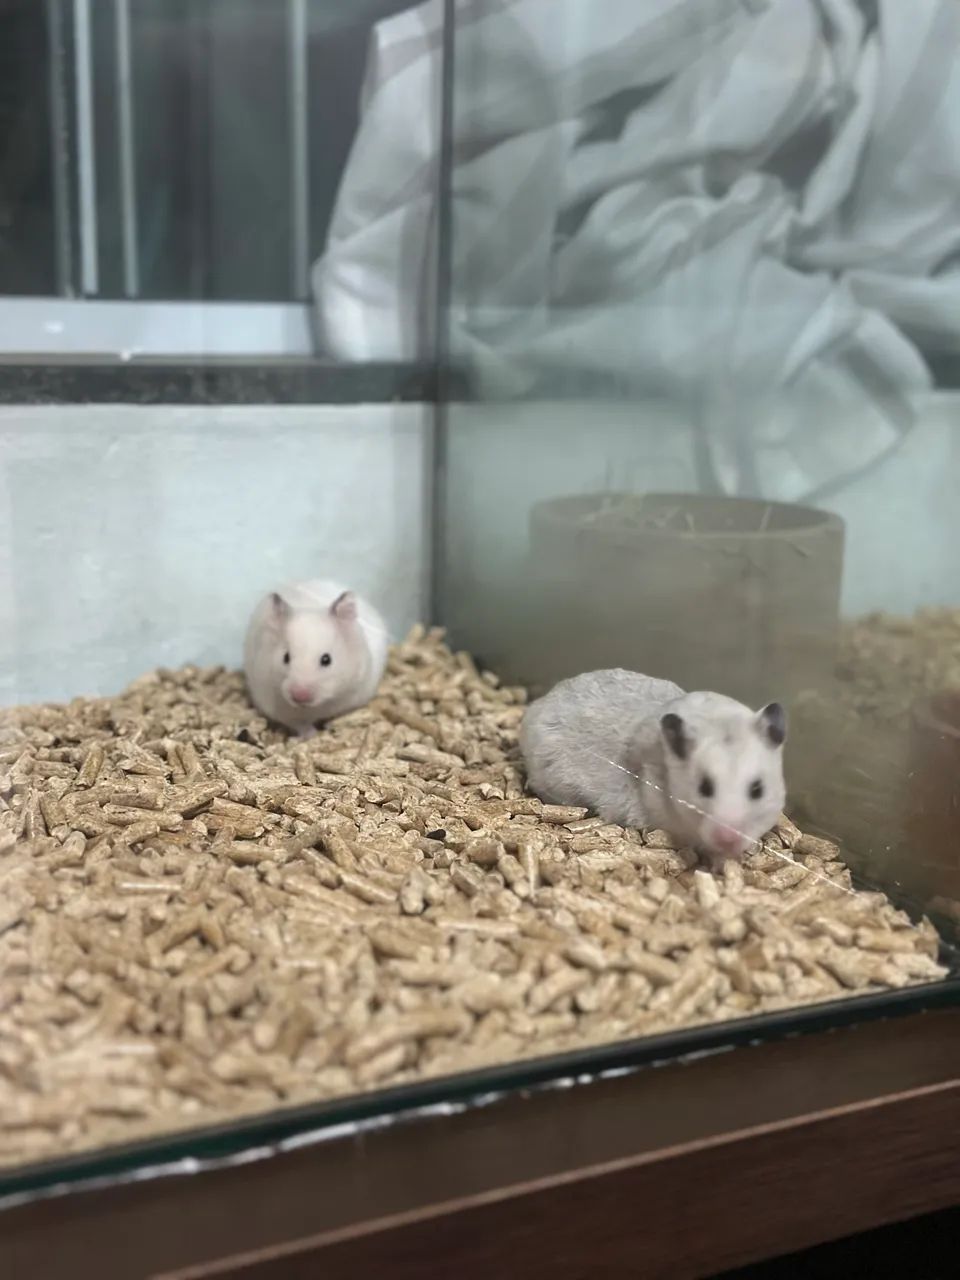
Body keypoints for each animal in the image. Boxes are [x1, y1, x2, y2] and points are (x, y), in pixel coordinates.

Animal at [243, 579, 389, 736]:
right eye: (286, 657)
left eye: (326, 659)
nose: (300, 696)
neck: (316, 707)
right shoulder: (282, 710)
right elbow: (301, 725)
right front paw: (311, 735)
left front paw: (333, 727)